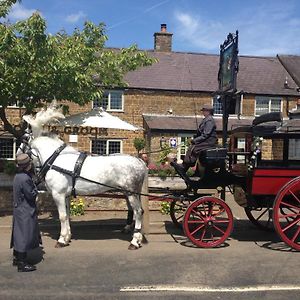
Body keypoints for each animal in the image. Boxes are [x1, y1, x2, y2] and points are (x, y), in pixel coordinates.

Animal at [18, 106, 147, 250]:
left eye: (24, 138)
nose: (17, 156)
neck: (55, 160)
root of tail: (139, 161)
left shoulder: (58, 194)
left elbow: (62, 216)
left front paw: (61, 239)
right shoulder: (66, 195)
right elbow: (67, 215)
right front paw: (67, 237)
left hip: (131, 193)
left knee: (138, 211)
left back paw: (134, 242)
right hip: (132, 193)